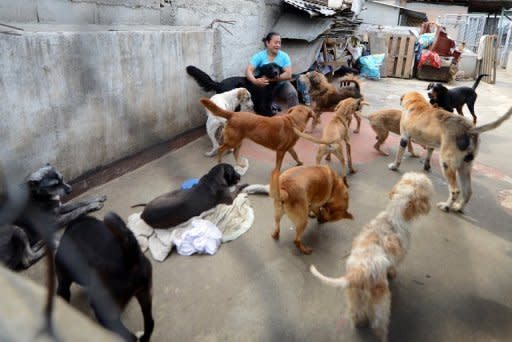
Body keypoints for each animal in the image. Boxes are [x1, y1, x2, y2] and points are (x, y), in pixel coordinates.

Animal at [55, 212, 153, 340]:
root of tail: (129, 258)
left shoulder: (63, 284)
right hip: (144, 294)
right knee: (150, 324)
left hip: (102, 312)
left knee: (129, 336)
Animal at [310, 174, 434, 342]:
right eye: (426, 187)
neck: (394, 215)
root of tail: (359, 272)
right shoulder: (398, 257)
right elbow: (393, 267)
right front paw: (392, 274)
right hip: (381, 304)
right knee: (378, 326)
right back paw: (383, 336)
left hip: (355, 295)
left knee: (356, 313)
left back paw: (359, 323)